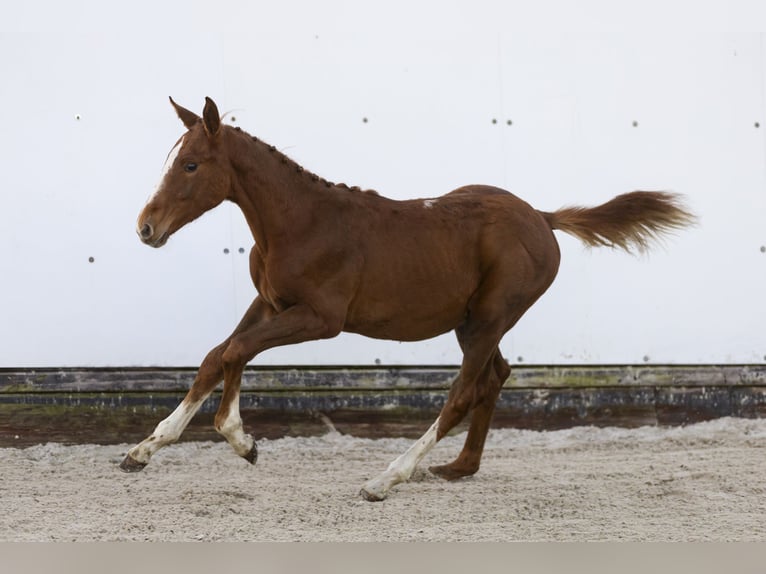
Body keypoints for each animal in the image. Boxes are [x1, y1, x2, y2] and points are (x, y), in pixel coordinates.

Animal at [118, 97, 696, 502]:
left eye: (191, 165)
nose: (146, 227)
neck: (299, 223)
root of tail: (543, 218)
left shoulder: (319, 318)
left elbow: (236, 352)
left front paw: (240, 439)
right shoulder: (270, 305)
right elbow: (218, 356)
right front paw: (144, 451)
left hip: (491, 317)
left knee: (464, 391)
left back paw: (386, 479)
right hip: (473, 321)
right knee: (495, 377)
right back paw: (460, 468)